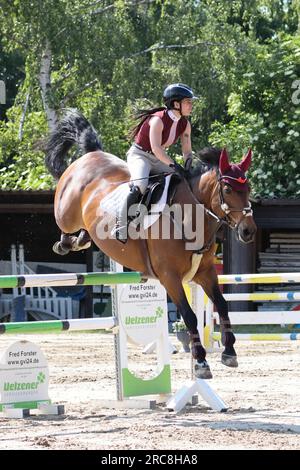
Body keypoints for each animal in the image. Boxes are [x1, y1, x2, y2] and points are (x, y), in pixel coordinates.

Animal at [44, 109, 255, 378]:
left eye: (248, 188)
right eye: (227, 190)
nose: (248, 231)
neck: (188, 216)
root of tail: (92, 154)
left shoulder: (205, 273)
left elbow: (222, 305)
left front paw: (229, 352)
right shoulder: (170, 277)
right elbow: (189, 316)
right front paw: (200, 363)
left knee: (83, 231)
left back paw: (81, 239)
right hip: (67, 211)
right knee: (63, 223)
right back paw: (65, 243)